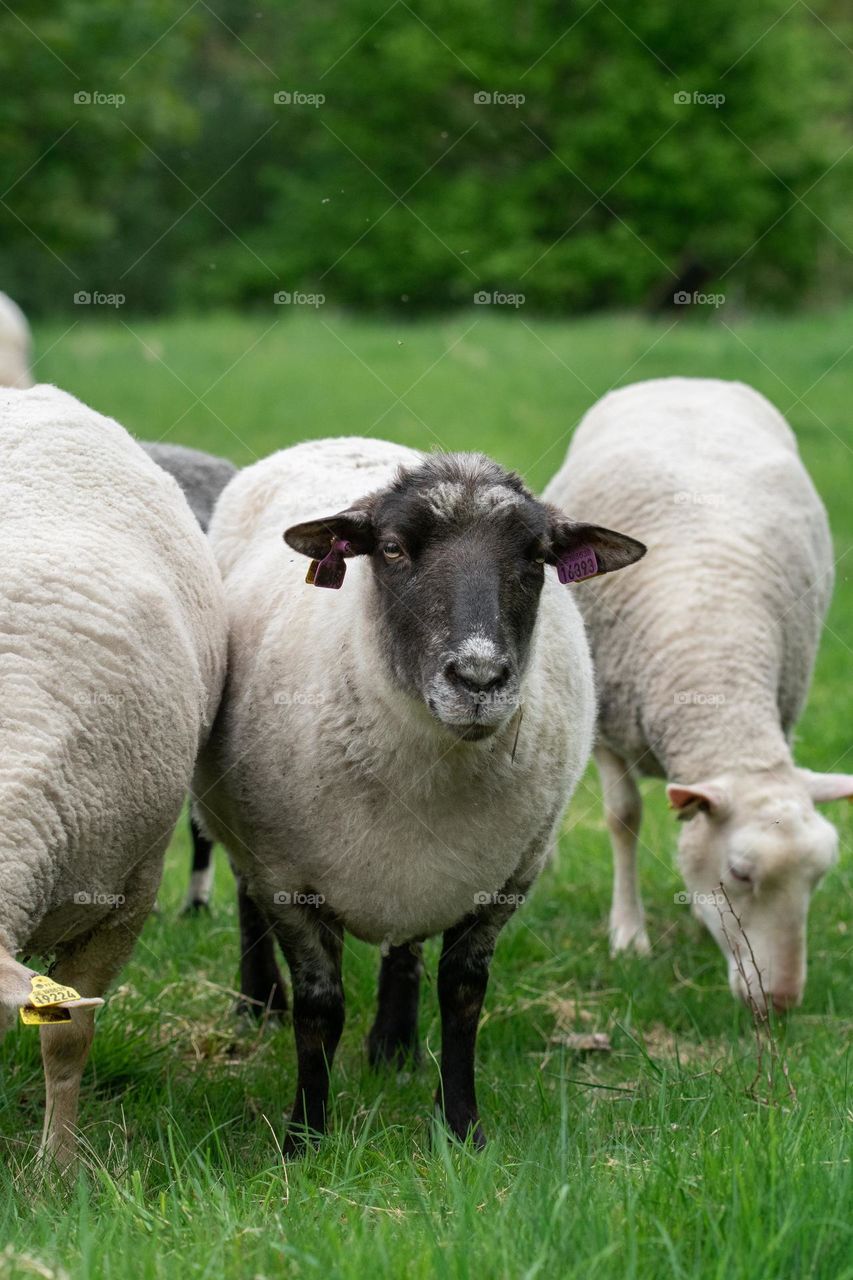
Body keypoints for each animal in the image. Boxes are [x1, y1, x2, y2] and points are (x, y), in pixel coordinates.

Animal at [192, 432, 645, 1152]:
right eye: (393, 549)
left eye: (536, 558)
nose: (479, 678)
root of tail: (344, 439)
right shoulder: (289, 878)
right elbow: (320, 1011)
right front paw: (304, 1139)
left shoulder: (505, 880)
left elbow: (462, 998)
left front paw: (462, 1129)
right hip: (239, 822)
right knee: (244, 895)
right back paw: (257, 1005)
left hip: (417, 869)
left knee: (402, 946)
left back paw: (394, 1046)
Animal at [540, 373, 845, 1013]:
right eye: (742, 873)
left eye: (819, 877)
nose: (781, 1001)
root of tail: (686, 378)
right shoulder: (609, 729)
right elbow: (623, 819)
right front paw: (628, 935)